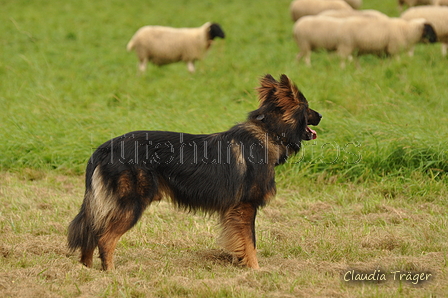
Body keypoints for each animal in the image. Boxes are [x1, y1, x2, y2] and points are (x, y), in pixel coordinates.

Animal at [67, 74, 322, 270]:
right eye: (307, 107)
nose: (321, 116)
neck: (268, 131)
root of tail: (106, 146)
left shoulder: (234, 211)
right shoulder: (246, 207)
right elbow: (251, 243)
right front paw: (256, 270)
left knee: (90, 233)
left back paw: (86, 270)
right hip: (131, 204)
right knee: (105, 238)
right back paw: (110, 272)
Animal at [292, 15, 436, 66]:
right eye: (430, 29)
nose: (436, 39)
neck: (407, 30)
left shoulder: (388, 50)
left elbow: (389, 61)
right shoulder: (393, 47)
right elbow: (397, 60)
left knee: (299, 56)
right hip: (343, 45)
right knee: (340, 58)